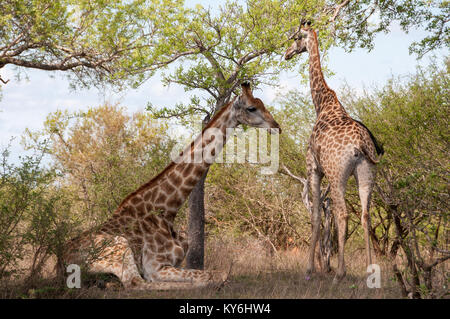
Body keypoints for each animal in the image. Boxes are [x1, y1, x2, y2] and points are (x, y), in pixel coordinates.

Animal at [58, 83, 280, 292]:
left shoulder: (176, 263)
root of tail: (60, 261)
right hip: (119, 247)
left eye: (262, 104)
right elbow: (216, 274)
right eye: (251, 108)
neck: (168, 209)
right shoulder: (155, 267)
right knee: (136, 283)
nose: (276, 126)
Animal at [284, 21, 384, 282]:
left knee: (342, 214)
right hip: (366, 173)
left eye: (296, 38)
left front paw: (309, 269)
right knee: (365, 214)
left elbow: (316, 216)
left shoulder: (314, 168)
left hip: (337, 173)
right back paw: (369, 270)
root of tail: (360, 145)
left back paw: (340, 273)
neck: (321, 104)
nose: (287, 53)